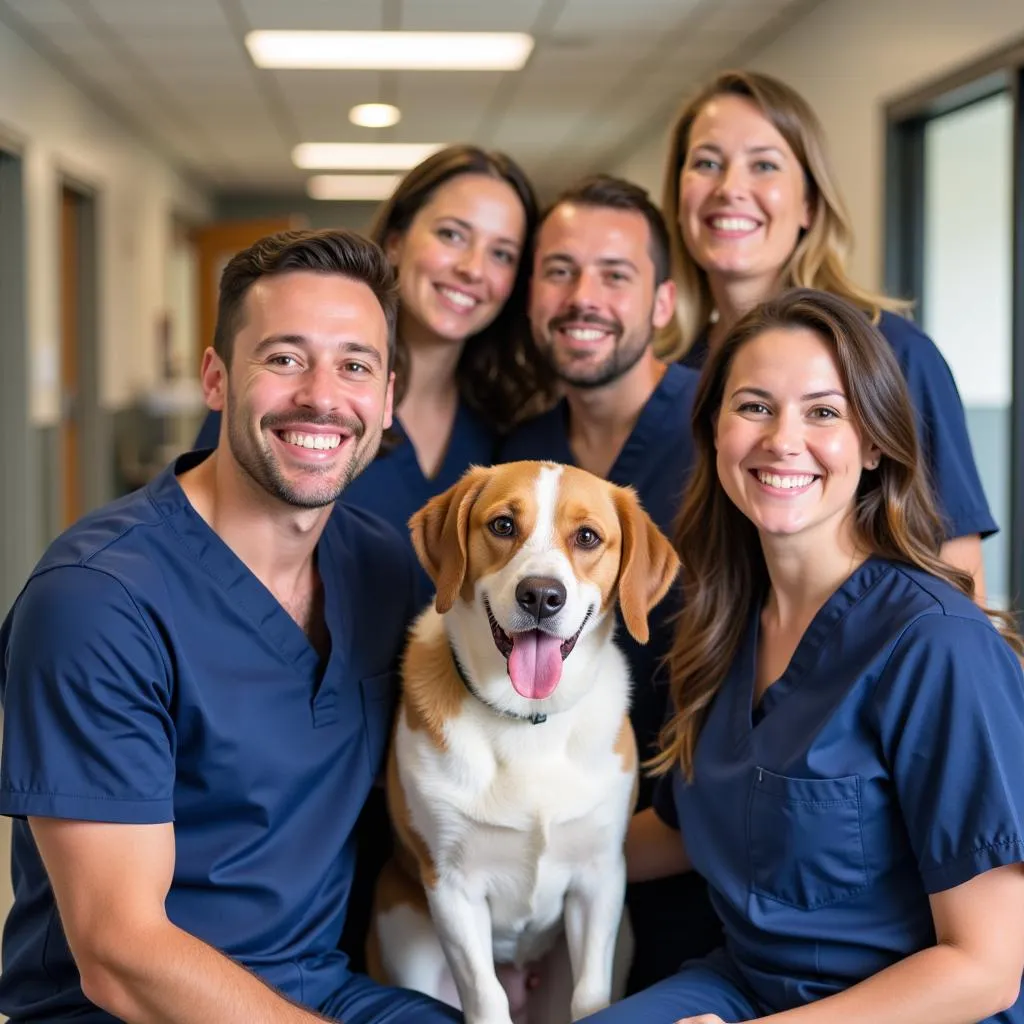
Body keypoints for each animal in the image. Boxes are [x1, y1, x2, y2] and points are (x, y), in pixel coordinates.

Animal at [368, 462, 679, 1024]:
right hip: (406, 935)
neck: (528, 720)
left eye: (587, 537)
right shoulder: (451, 885)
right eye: (503, 526)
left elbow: (590, 994)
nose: (541, 595)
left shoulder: (600, 877)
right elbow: (486, 995)